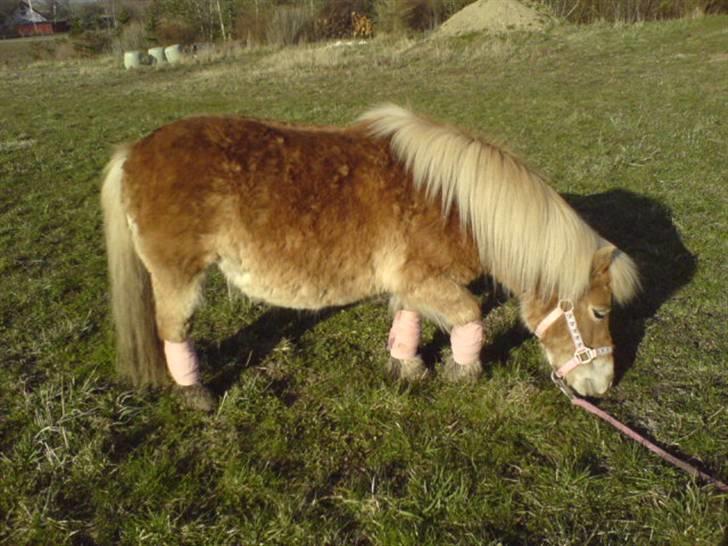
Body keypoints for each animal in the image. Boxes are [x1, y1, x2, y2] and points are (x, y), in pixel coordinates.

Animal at [101, 104, 636, 408]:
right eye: (599, 312)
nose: (604, 385)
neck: (458, 202)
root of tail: (133, 152)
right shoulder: (428, 280)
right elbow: (469, 316)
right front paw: (461, 373)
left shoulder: (413, 283)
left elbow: (409, 320)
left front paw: (408, 367)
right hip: (178, 277)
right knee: (173, 329)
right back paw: (196, 393)